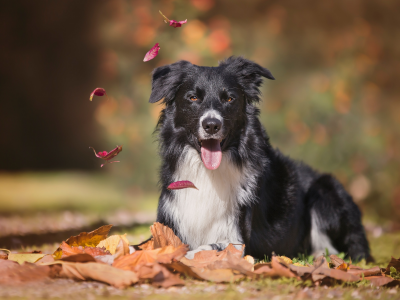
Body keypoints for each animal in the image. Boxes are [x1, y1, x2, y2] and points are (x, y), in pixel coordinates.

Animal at [148, 56, 370, 260]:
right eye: (193, 97)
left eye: (229, 99)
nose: (212, 125)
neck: (207, 172)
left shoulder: (238, 239)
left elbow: (204, 249)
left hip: (325, 190)